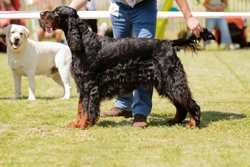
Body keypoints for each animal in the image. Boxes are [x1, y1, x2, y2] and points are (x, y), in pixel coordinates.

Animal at [39, 5, 215, 130]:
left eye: (56, 12)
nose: (40, 13)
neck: (84, 43)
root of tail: (168, 43)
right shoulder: (82, 85)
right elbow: (80, 106)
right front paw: (76, 123)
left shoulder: (90, 85)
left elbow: (86, 108)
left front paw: (83, 125)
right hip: (165, 83)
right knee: (180, 104)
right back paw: (175, 121)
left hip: (172, 80)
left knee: (189, 102)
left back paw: (193, 123)